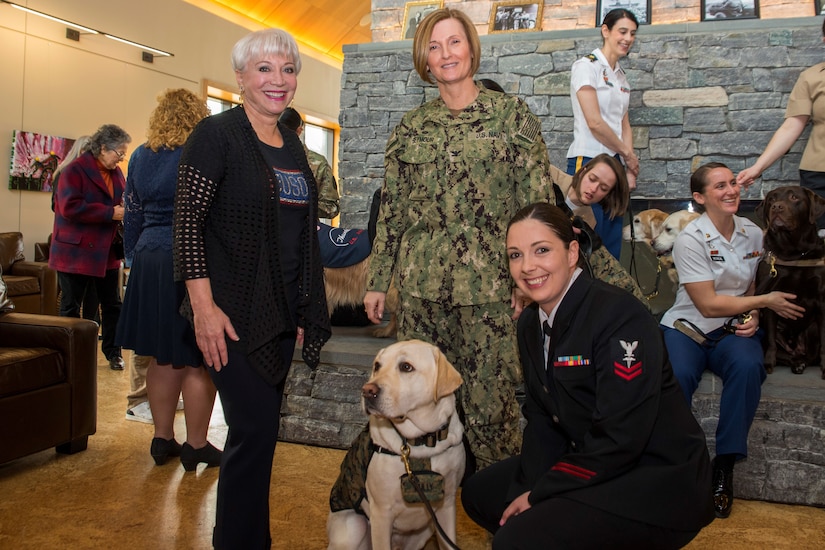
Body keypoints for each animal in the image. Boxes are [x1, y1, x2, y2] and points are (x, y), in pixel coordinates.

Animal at [326, 340, 464, 550]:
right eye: (377, 366)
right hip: (353, 528)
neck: (421, 442)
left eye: (406, 367)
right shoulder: (381, 512)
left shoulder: (447, 506)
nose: (367, 391)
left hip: (425, 531)